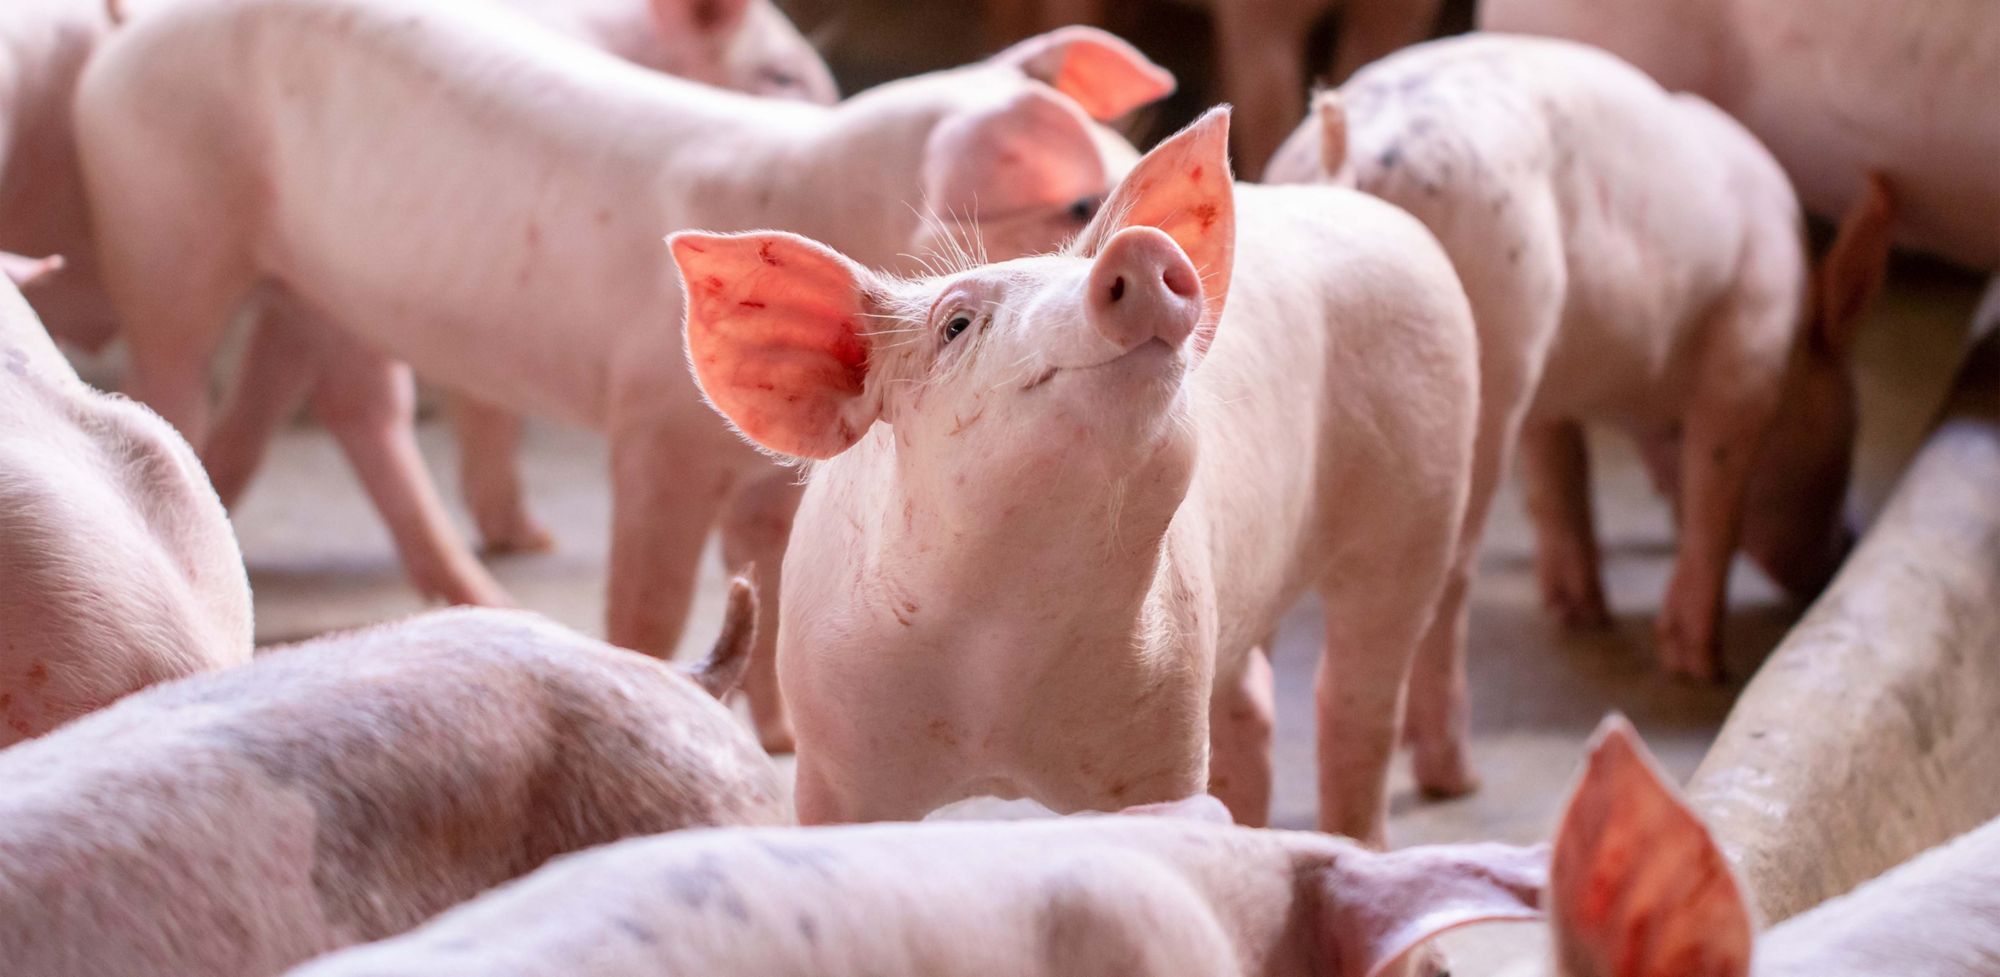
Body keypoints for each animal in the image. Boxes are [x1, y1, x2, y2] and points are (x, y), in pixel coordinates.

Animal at [77, 0, 1172, 751]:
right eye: (1078, 203)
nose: (1164, 259)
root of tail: (131, 35)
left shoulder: (777, 468)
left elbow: (772, 572)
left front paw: (781, 737)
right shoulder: (656, 426)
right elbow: (650, 589)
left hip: (322, 286)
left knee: (355, 404)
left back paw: (484, 579)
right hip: (162, 218)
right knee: (178, 373)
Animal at [672, 108, 1481, 841]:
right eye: (955, 325)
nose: (1140, 247)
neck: (998, 654)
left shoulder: (1166, 722)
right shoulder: (834, 756)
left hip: (1424, 495)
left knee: (1357, 703)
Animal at [1264, 36, 1894, 728]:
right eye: (1848, 432)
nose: (1848, 544)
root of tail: (1346, 153)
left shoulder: (1552, 390)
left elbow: (1560, 475)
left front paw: (1580, 613)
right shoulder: (1749, 350)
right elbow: (1715, 496)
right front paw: (1700, 667)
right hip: (1493, 348)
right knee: (1447, 576)